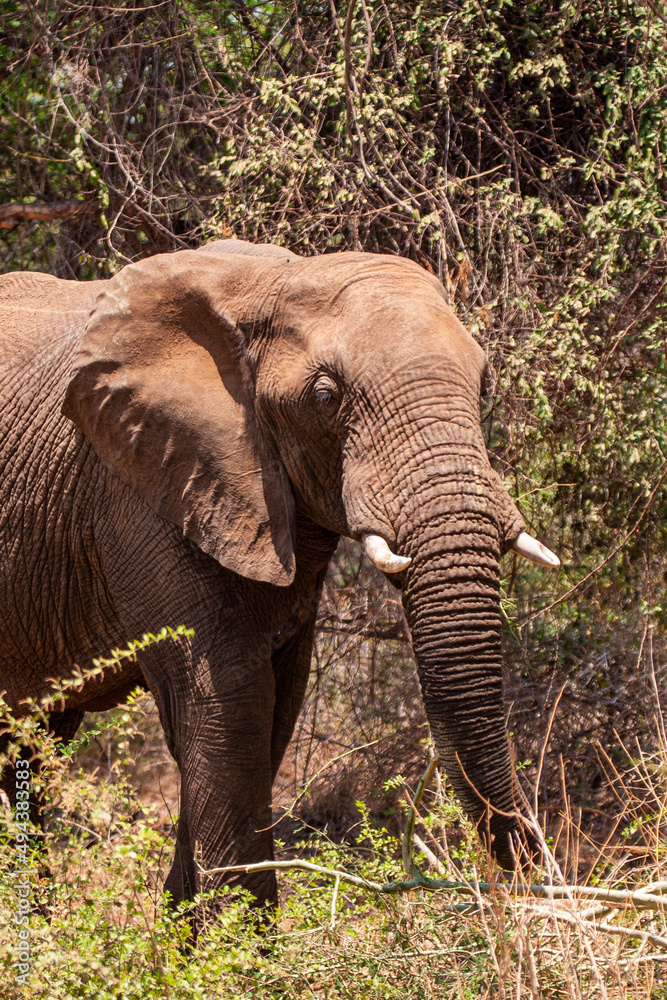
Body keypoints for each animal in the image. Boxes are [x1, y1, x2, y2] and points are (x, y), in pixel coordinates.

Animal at [0, 238, 559, 909]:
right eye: (326, 396)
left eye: (483, 383)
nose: (528, 879)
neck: (274, 283)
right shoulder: (141, 487)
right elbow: (228, 701)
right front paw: (237, 938)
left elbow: (273, 707)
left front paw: (192, 929)